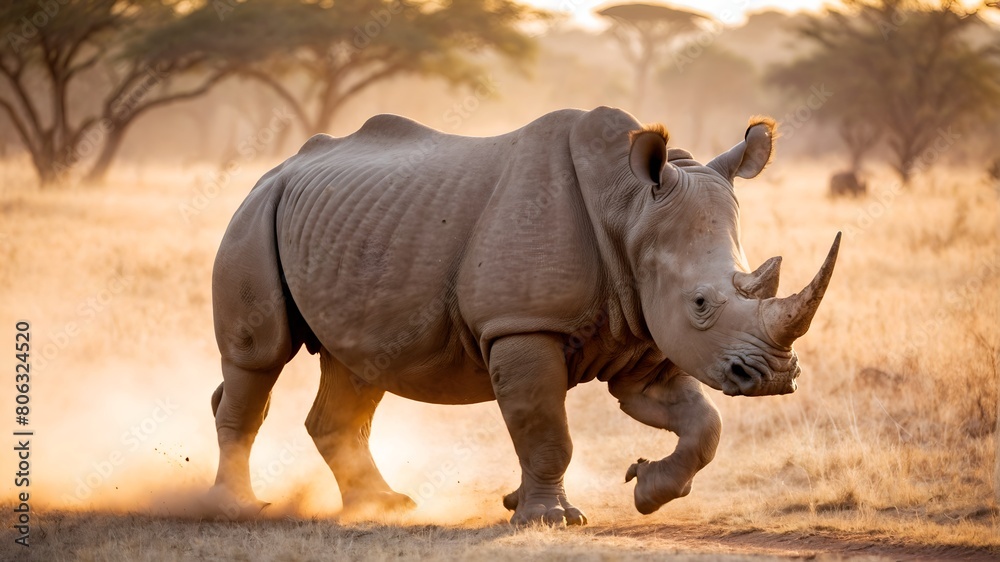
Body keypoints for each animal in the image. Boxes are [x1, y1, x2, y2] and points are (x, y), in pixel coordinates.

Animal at [208, 107, 840, 525]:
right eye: (702, 304)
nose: (775, 377)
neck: (630, 207)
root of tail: (276, 169)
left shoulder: (644, 328)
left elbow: (699, 422)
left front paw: (645, 490)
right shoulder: (521, 323)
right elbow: (544, 428)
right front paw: (548, 519)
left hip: (352, 234)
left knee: (359, 368)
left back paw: (384, 507)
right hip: (253, 215)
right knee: (259, 358)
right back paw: (238, 508)